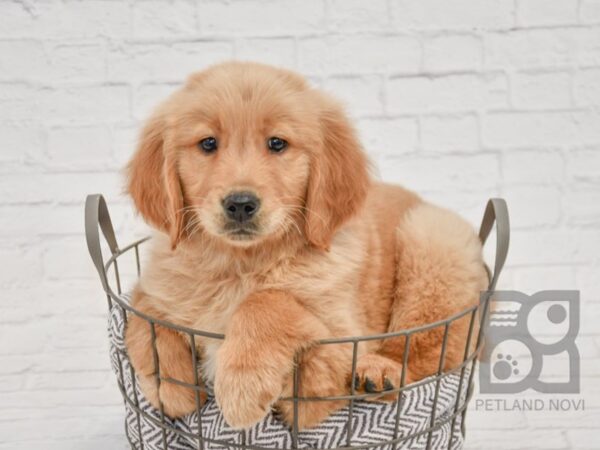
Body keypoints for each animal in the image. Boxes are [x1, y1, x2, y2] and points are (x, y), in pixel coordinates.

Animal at [125, 60, 488, 428]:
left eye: (277, 143)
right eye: (208, 143)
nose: (240, 204)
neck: (241, 264)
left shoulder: (338, 345)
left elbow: (270, 302)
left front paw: (242, 383)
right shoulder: (158, 284)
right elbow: (141, 313)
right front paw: (169, 382)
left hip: (432, 238)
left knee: (425, 353)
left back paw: (379, 372)